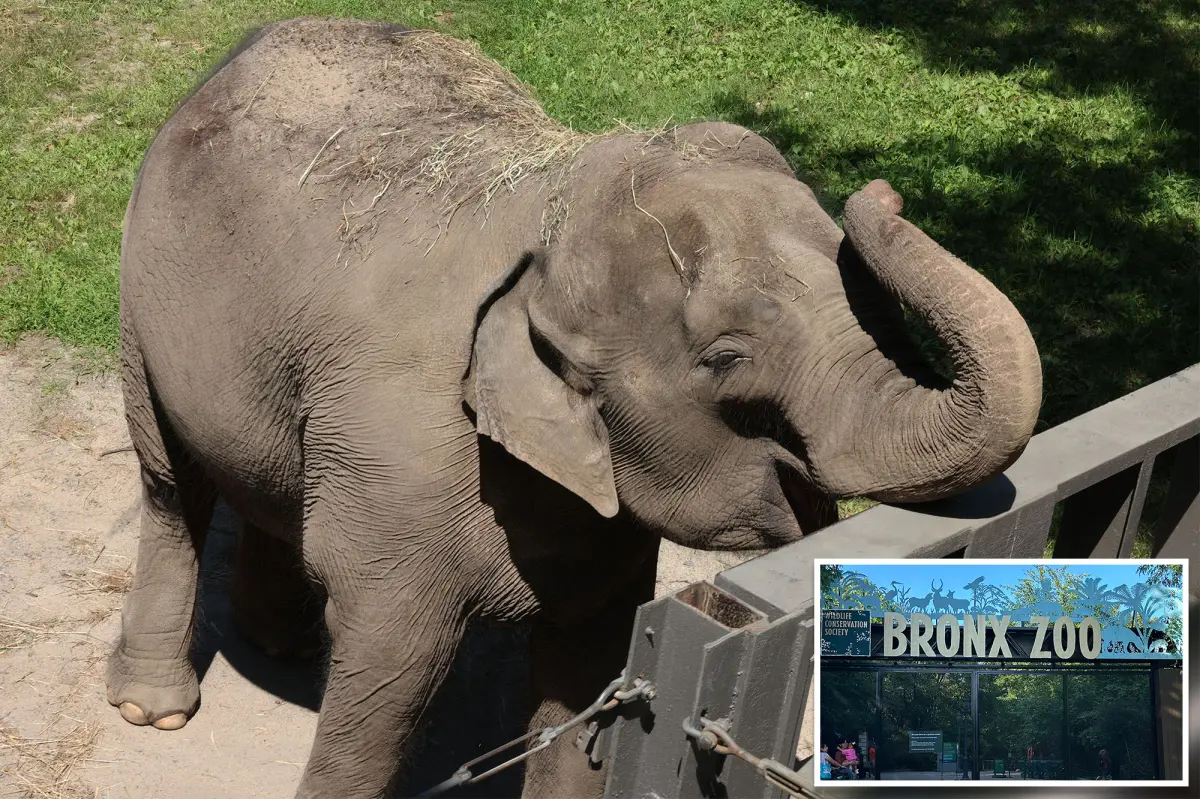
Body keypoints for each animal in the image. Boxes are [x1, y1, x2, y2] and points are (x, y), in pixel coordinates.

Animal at [106, 17, 1042, 799]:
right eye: (725, 359)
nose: (884, 191)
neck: (547, 212)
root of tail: (236, 52)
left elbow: (587, 668)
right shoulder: (394, 461)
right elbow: (389, 667)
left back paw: (285, 645)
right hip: (140, 301)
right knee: (171, 484)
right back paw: (155, 708)